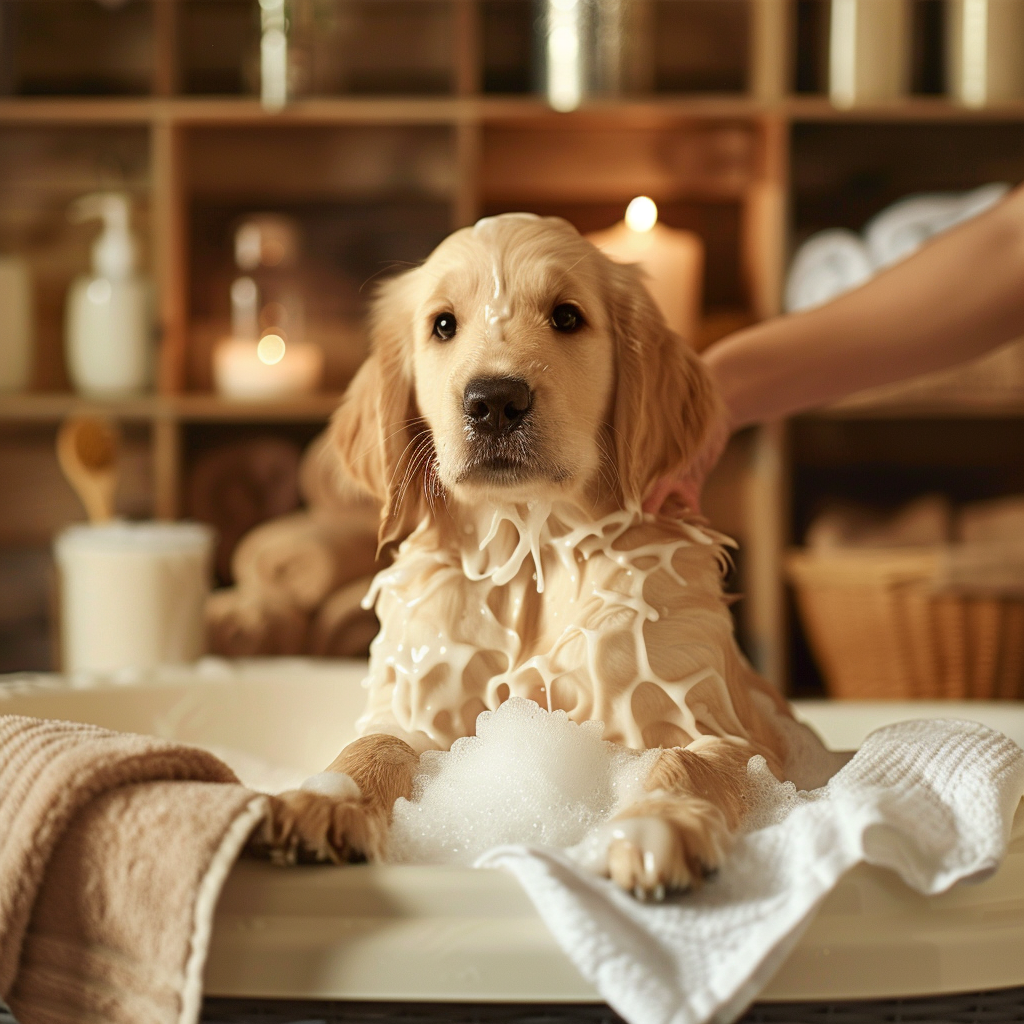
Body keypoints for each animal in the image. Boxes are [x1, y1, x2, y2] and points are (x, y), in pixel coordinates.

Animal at [251, 214, 827, 897]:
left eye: (567, 316)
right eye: (442, 324)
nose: (495, 400)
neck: (529, 552)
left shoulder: (723, 730)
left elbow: (685, 762)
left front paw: (653, 828)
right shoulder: (418, 712)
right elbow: (374, 748)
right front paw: (325, 799)